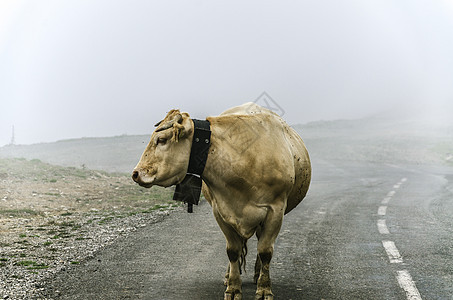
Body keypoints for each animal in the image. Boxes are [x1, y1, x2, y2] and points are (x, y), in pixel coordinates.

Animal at [132, 103, 310, 300]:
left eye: (161, 140)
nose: (136, 173)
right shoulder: (221, 211)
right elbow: (232, 250)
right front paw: (233, 288)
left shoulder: (275, 211)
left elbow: (265, 251)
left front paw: (264, 289)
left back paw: (257, 274)